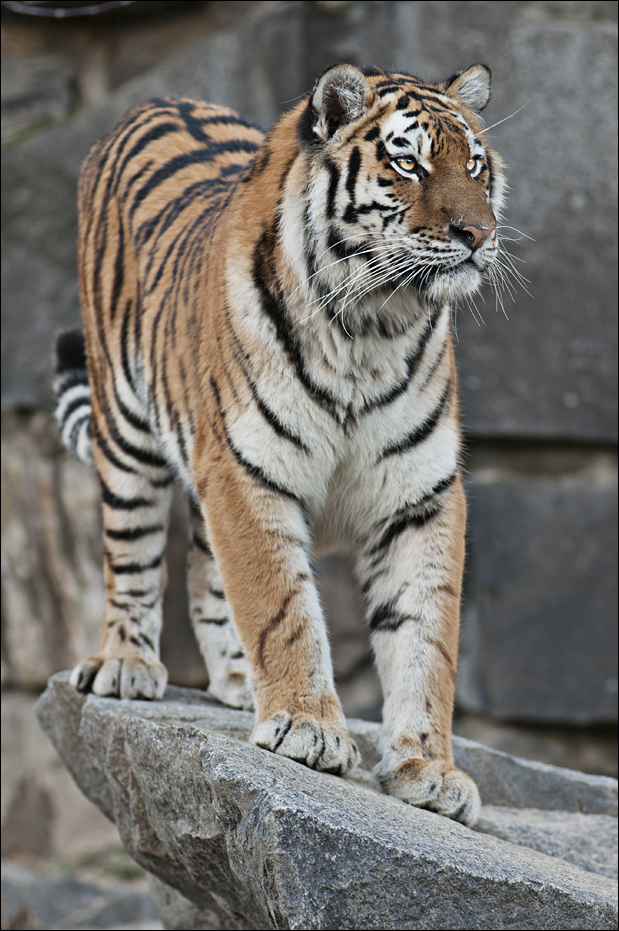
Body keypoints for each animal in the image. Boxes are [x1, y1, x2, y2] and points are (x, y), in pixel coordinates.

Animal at [54, 62, 507, 827]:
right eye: (409, 163)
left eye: (473, 165)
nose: (477, 231)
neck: (373, 326)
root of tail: (159, 99)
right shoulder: (248, 470)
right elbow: (280, 606)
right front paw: (307, 728)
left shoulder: (420, 495)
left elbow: (426, 637)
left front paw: (429, 770)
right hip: (125, 430)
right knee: (132, 562)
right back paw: (125, 665)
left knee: (205, 572)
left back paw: (238, 680)